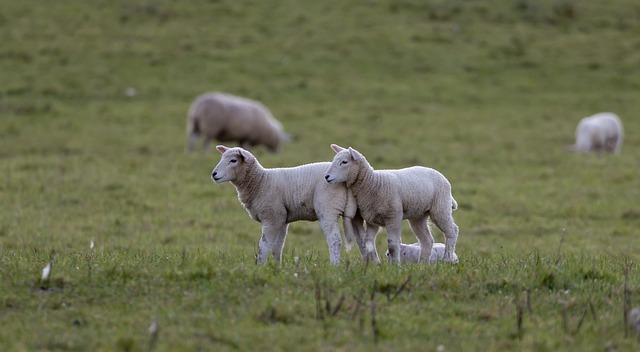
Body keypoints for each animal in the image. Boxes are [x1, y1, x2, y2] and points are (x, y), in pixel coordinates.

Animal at [212, 145, 364, 264]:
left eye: (233, 160)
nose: (214, 174)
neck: (260, 182)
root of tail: (347, 181)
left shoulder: (272, 217)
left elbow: (263, 246)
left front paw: (259, 266)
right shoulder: (281, 219)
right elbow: (277, 247)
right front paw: (276, 267)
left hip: (328, 209)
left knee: (335, 240)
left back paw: (334, 266)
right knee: (361, 240)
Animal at [324, 144, 460, 264]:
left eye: (344, 162)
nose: (327, 176)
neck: (372, 183)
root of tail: (442, 176)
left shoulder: (393, 216)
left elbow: (393, 245)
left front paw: (395, 265)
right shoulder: (372, 220)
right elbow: (368, 242)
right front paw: (373, 263)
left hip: (440, 207)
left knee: (452, 231)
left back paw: (447, 258)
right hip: (418, 215)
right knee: (427, 240)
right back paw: (422, 263)